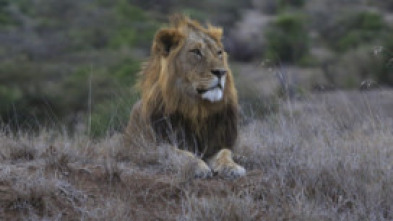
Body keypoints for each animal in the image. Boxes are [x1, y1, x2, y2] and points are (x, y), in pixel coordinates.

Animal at [123, 14, 245, 180]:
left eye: (219, 53)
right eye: (196, 51)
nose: (221, 72)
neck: (197, 110)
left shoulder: (218, 143)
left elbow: (225, 153)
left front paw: (232, 167)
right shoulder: (151, 147)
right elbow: (179, 153)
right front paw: (198, 167)